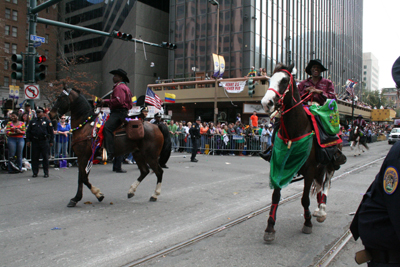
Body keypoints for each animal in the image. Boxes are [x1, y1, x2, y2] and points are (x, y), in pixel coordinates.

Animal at [260, 63, 342, 244]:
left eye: (284, 80)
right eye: (269, 80)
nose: (266, 103)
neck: (294, 131)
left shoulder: (310, 169)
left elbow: (305, 199)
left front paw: (308, 222)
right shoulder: (279, 167)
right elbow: (275, 196)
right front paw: (269, 228)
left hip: (329, 165)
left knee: (326, 184)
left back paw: (322, 210)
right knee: (319, 185)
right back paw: (318, 210)